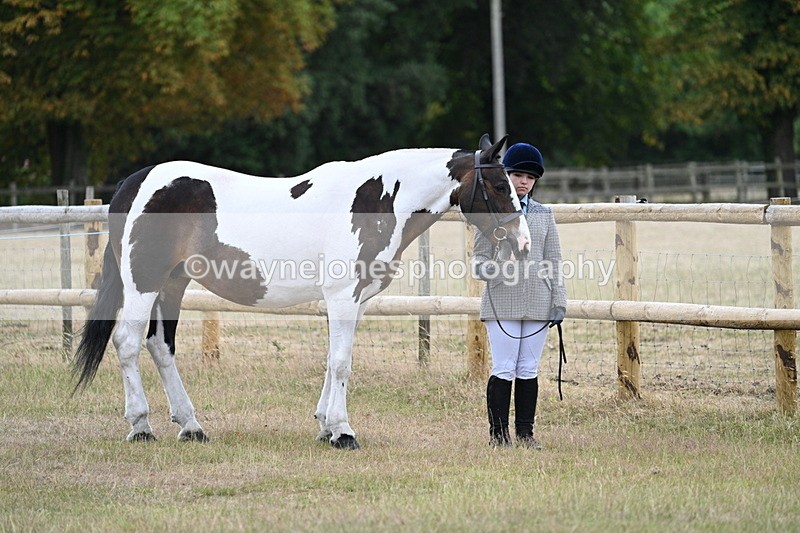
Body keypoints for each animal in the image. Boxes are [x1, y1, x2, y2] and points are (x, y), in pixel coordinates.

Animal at [72, 134, 531, 449]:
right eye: (497, 187)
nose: (522, 243)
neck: (378, 198)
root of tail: (137, 182)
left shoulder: (355, 300)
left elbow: (333, 360)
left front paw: (325, 425)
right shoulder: (342, 295)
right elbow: (343, 363)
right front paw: (343, 433)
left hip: (173, 283)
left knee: (160, 345)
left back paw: (191, 426)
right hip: (144, 282)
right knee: (128, 341)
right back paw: (141, 426)